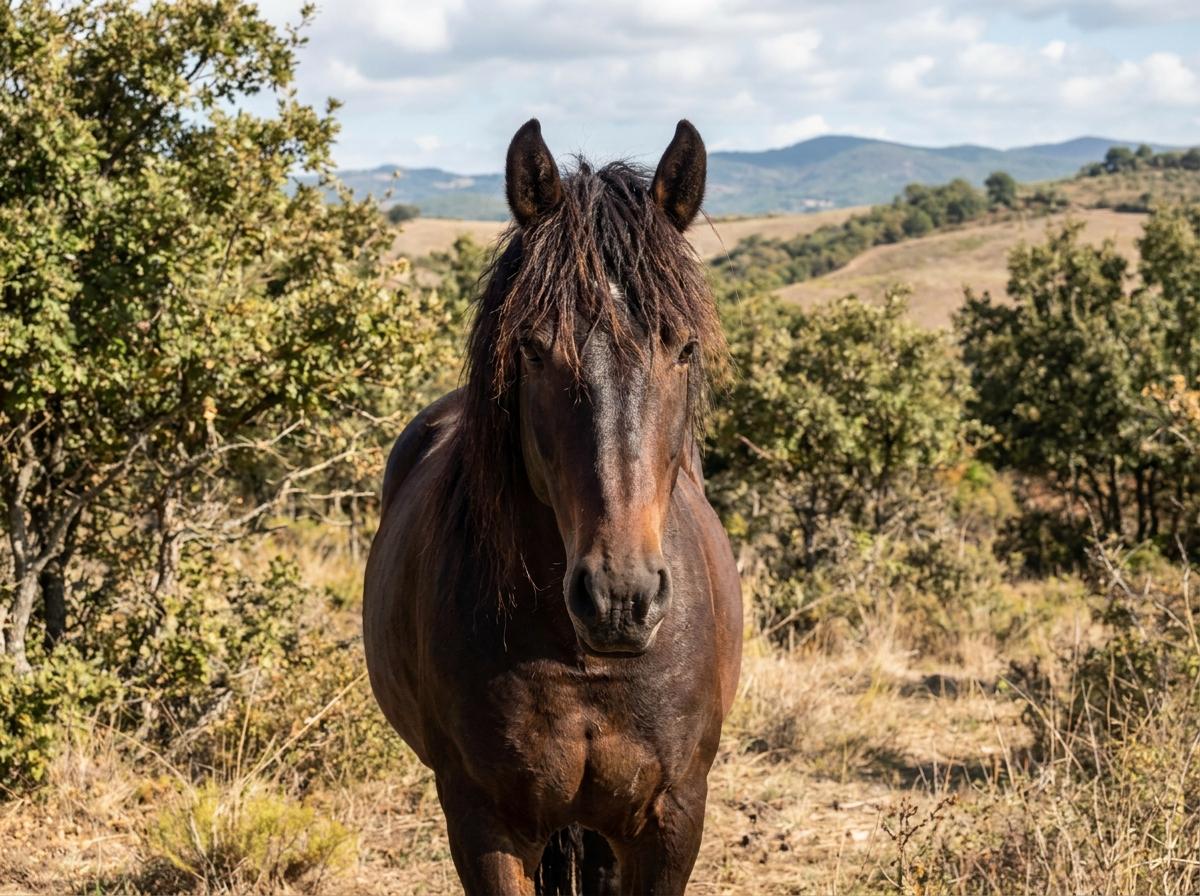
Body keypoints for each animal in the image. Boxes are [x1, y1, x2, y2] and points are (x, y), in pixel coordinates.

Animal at [363, 118, 742, 895]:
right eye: (535, 349)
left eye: (685, 348)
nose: (621, 599)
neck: (582, 664)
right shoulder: (484, 822)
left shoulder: (672, 821)